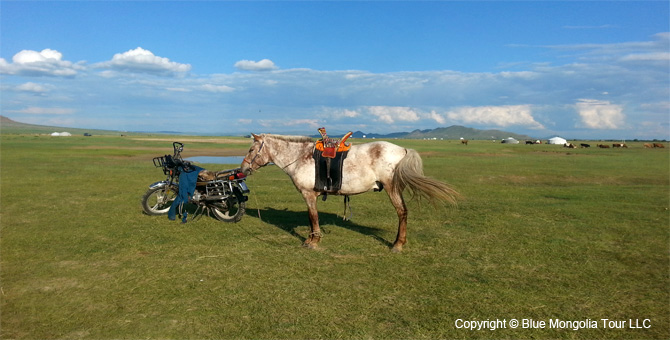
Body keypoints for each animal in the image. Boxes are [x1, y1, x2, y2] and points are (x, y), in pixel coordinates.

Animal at [239, 134, 460, 251]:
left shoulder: (308, 195)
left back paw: (397, 244)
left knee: (402, 212)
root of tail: (403, 150)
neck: (300, 157)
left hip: (392, 189)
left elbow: (313, 217)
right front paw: (312, 239)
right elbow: (312, 218)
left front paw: (313, 241)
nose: (242, 169)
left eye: (251, 150)